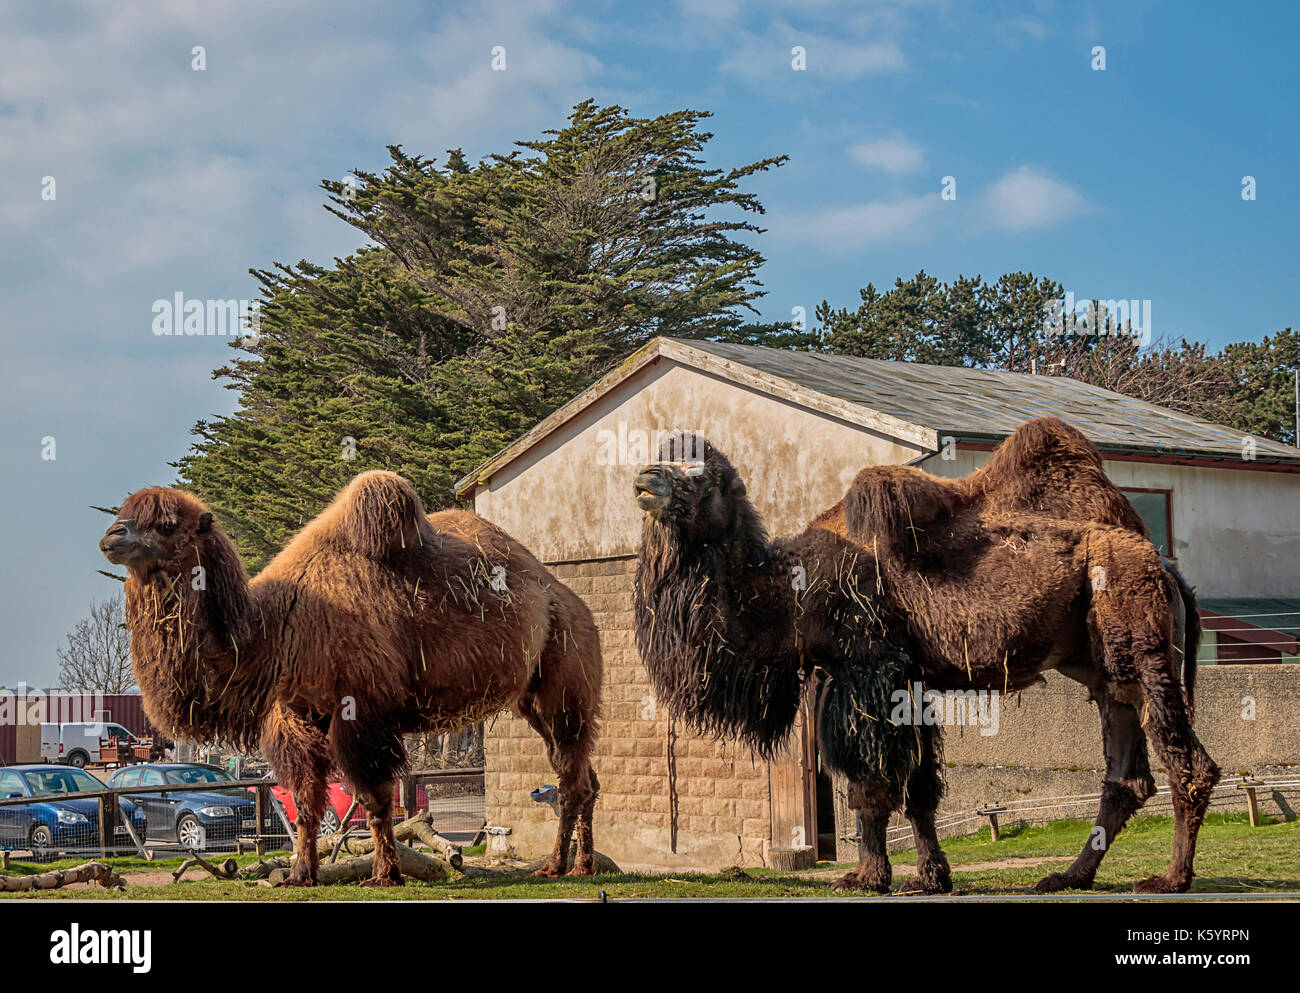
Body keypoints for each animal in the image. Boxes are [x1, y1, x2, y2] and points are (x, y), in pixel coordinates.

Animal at [98, 470, 600, 883]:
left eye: (166, 525)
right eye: (124, 514)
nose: (111, 535)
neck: (273, 632)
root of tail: (566, 598)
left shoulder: (359, 709)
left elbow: (376, 798)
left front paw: (384, 875)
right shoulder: (294, 714)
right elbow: (305, 802)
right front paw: (300, 875)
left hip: (565, 677)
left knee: (570, 778)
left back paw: (559, 868)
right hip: (533, 699)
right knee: (584, 777)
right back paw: (580, 865)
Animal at [634, 415, 1211, 894]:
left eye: (702, 476)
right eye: (664, 455)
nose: (645, 478)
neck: (792, 591)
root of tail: (1166, 568)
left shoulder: (869, 670)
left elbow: (869, 786)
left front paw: (866, 878)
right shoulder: (913, 681)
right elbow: (920, 789)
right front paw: (931, 878)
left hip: (1142, 645)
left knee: (1188, 762)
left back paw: (1170, 878)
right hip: (1105, 672)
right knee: (1126, 778)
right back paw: (1068, 877)